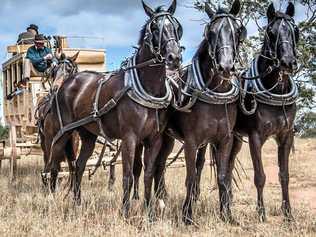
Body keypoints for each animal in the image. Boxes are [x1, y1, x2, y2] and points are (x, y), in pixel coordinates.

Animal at [45, 0, 181, 218]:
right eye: (154, 27)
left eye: (176, 27)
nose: (174, 57)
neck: (147, 87)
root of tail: (66, 83)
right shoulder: (130, 138)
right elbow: (128, 175)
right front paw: (125, 211)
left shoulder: (154, 139)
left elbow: (148, 175)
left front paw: (149, 211)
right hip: (62, 133)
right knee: (54, 165)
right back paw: (51, 199)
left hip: (88, 136)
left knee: (79, 166)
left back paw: (77, 202)